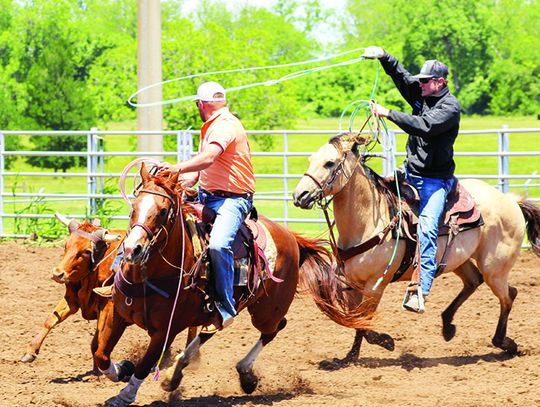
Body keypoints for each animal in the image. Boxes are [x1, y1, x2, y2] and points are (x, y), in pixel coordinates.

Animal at [93, 164, 332, 406]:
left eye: (163, 211)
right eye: (134, 207)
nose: (132, 249)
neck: (147, 277)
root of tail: (290, 236)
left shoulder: (165, 331)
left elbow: (143, 366)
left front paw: (124, 396)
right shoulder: (117, 313)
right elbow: (101, 354)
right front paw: (122, 369)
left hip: (266, 311)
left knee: (274, 329)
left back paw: (245, 374)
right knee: (211, 331)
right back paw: (175, 374)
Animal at [294, 132, 540, 362]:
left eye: (329, 163)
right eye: (310, 160)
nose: (299, 195)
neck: (369, 222)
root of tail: (510, 200)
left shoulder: (375, 285)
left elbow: (364, 320)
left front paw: (386, 342)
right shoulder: (351, 284)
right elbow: (355, 320)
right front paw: (350, 358)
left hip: (494, 268)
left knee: (508, 296)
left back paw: (504, 343)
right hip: (457, 260)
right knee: (475, 282)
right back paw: (448, 326)